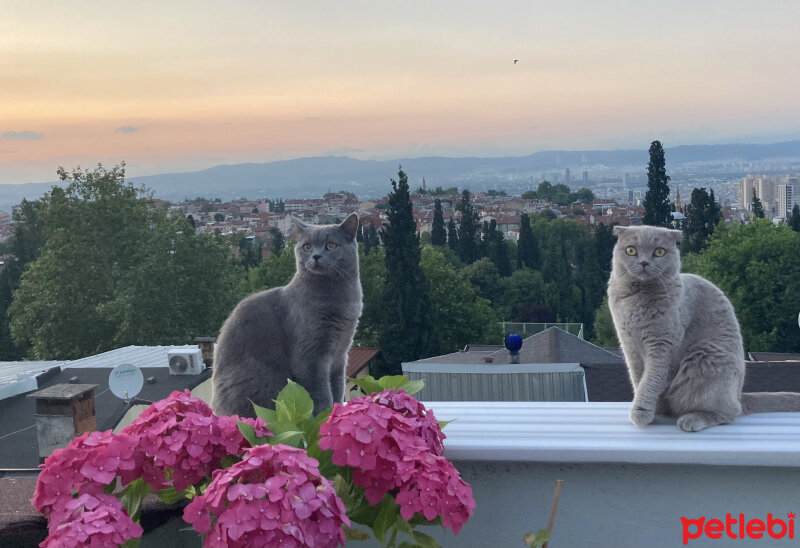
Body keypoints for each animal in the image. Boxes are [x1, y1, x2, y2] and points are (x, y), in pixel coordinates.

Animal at [212, 213, 362, 416]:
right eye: (307, 247)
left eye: (331, 245)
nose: (315, 255)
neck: (338, 298)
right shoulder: (310, 358)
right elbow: (321, 393)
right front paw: (324, 416)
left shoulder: (340, 354)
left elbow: (337, 388)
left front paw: (337, 411)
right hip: (268, 379)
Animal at [608, 225, 800, 430]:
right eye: (631, 250)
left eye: (659, 252)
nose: (644, 262)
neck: (637, 301)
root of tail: (739, 395)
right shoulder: (630, 347)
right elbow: (638, 379)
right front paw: (654, 411)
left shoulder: (663, 347)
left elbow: (651, 380)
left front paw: (641, 413)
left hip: (705, 359)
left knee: (730, 412)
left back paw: (692, 419)